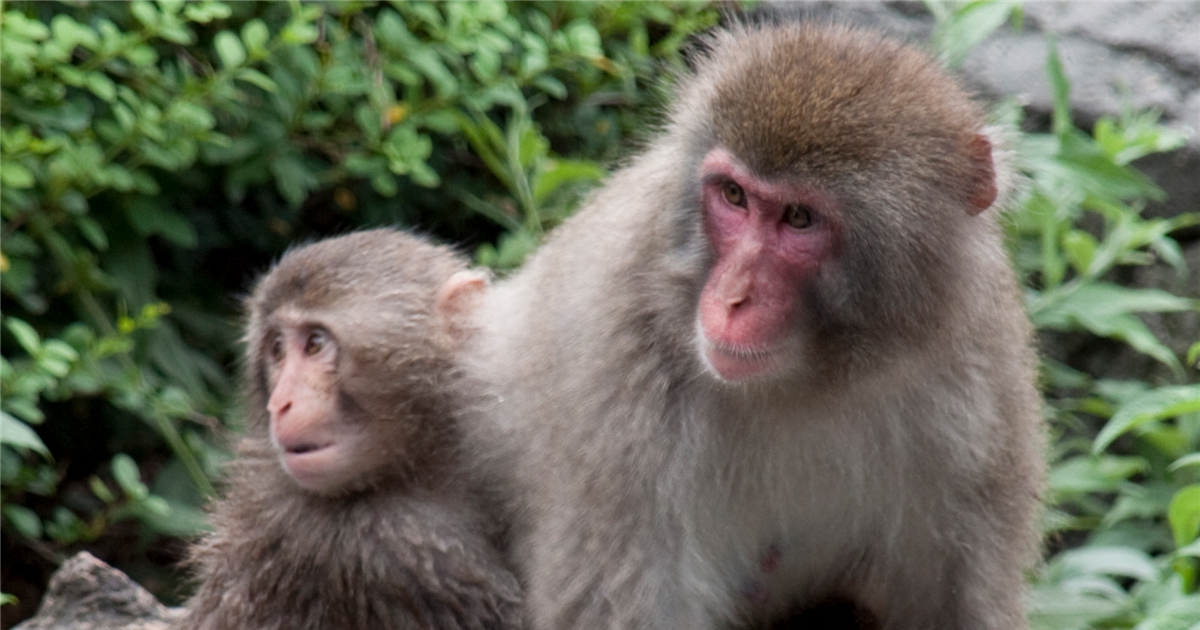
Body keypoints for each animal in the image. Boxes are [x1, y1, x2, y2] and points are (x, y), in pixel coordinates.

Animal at [461, 21, 1044, 630]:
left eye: (799, 218)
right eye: (734, 195)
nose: (733, 297)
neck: (812, 382)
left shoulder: (979, 372)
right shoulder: (617, 363)